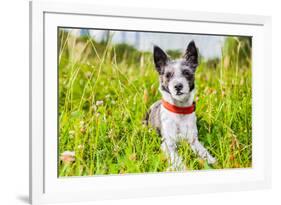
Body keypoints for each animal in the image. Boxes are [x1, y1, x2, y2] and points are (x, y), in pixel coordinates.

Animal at [145, 40, 215, 170]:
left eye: (187, 73)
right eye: (168, 75)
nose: (178, 86)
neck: (179, 110)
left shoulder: (193, 141)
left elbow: (203, 151)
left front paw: (211, 160)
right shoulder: (167, 144)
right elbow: (177, 159)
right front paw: (182, 167)